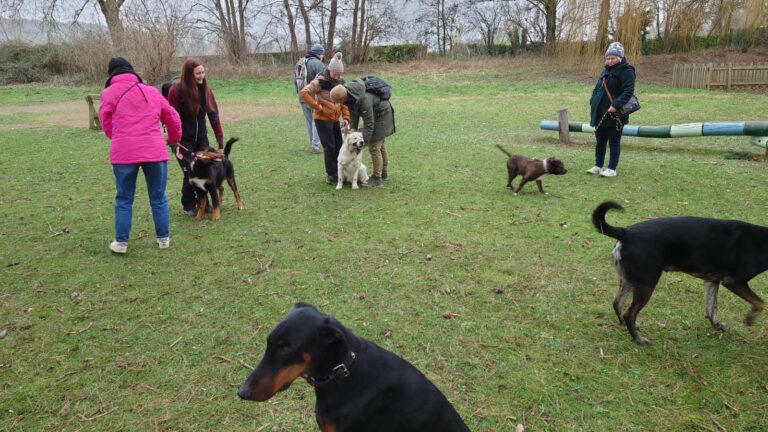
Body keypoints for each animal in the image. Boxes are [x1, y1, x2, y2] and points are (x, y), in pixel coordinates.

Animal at [592, 201, 768, 346]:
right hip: (646, 284)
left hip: (629, 281)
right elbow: (760, 303)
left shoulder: (712, 280)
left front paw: (717, 325)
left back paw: (626, 326)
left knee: (617, 303)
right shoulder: (734, 281)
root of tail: (626, 233)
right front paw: (750, 319)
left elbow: (711, 308)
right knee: (630, 313)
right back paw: (638, 339)